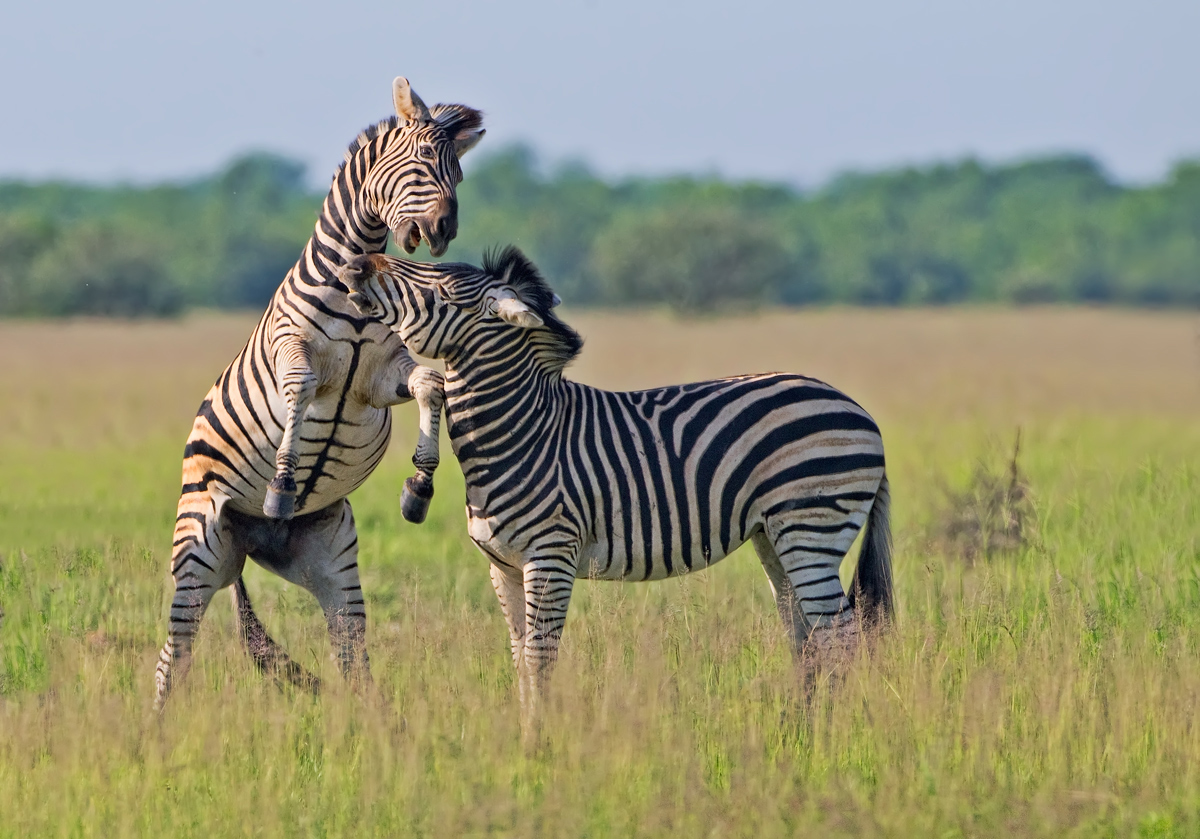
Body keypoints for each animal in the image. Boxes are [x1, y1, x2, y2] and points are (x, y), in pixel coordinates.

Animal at [154, 78, 484, 710]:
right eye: (421, 162)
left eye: (458, 171)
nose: (445, 231)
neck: (356, 288)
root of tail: (252, 548)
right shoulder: (292, 350)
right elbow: (303, 390)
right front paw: (283, 483)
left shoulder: (383, 376)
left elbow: (432, 385)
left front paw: (420, 486)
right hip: (198, 547)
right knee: (174, 654)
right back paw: (154, 729)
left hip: (332, 565)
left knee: (352, 659)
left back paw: (370, 727)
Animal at [337, 248, 894, 731]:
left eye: (444, 290)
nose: (356, 263)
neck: (524, 430)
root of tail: (861, 411)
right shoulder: (504, 565)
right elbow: (519, 658)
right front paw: (524, 737)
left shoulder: (551, 555)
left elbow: (539, 658)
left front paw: (539, 745)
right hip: (773, 536)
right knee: (807, 636)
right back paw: (797, 730)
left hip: (811, 526)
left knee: (840, 636)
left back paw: (837, 735)